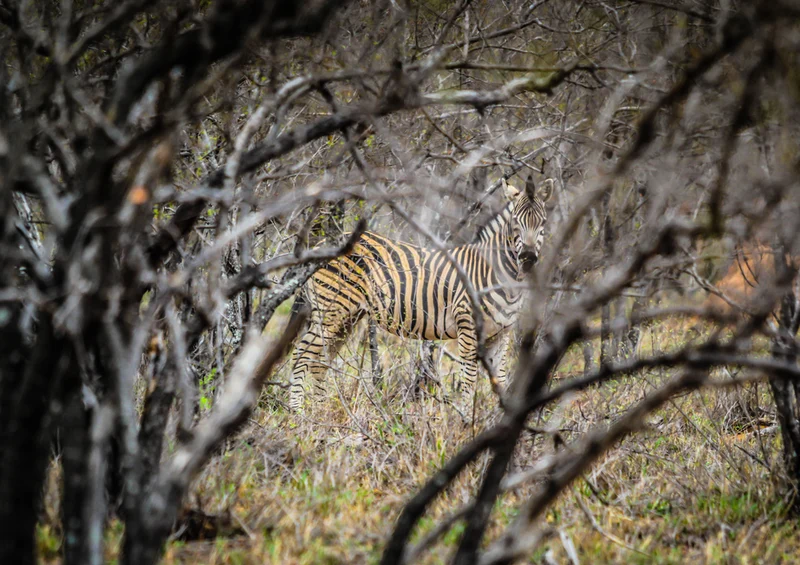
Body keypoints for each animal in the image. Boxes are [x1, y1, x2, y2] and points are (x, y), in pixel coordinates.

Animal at [288, 175, 553, 411]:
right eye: (516, 222)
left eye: (543, 223)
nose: (528, 259)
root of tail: (321, 244)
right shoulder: (467, 329)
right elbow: (469, 382)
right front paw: (464, 425)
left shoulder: (502, 334)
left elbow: (501, 381)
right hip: (331, 311)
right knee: (302, 354)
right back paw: (297, 416)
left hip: (348, 316)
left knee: (320, 362)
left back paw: (322, 412)